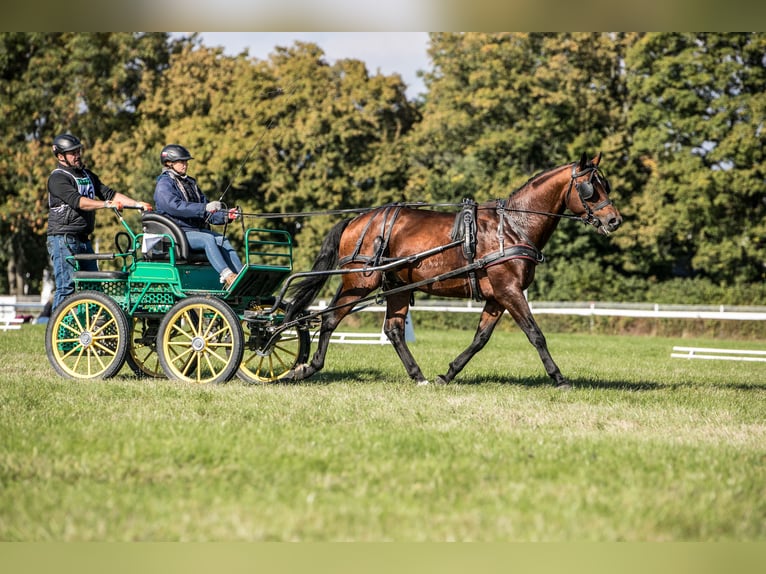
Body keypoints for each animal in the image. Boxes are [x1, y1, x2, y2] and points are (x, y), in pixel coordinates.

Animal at [283, 152, 622, 388]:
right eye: (591, 188)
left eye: (605, 185)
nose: (614, 220)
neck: (513, 226)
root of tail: (358, 220)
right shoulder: (510, 291)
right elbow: (535, 334)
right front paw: (559, 378)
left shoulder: (497, 296)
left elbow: (480, 338)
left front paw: (447, 374)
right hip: (360, 281)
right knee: (329, 319)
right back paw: (307, 367)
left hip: (395, 287)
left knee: (393, 329)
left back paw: (418, 376)